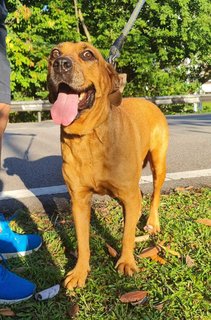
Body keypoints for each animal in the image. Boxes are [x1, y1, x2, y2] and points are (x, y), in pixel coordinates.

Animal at [47, 42, 168, 290]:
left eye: (88, 54)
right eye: (55, 52)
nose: (61, 63)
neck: (88, 137)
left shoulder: (129, 195)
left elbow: (127, 234)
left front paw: (126, 262)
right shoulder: (79, 200)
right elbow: (82, 242)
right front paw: (79, 272)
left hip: (158, 163)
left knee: (154, 194)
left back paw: (152, 222)